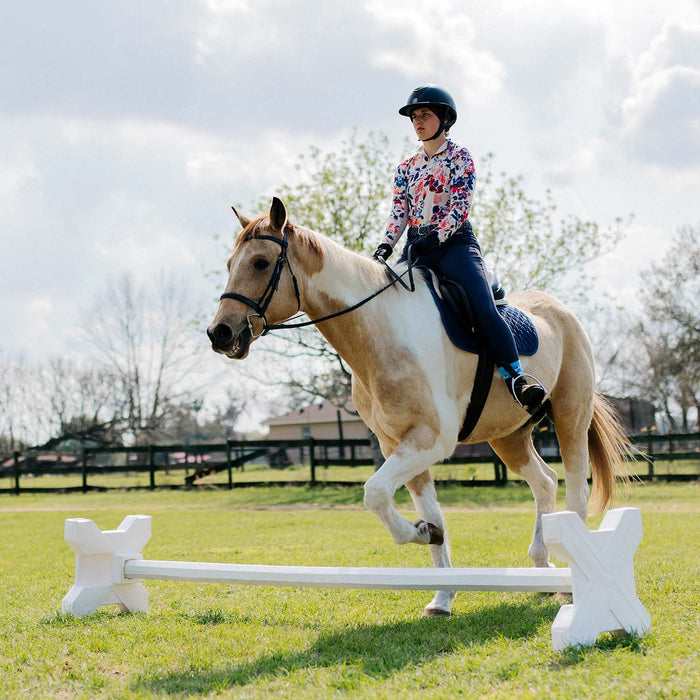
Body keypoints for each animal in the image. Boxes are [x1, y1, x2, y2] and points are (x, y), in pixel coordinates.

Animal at [206, 197, 628, 616]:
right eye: (229, 264)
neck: (384, 331)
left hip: (570, 418)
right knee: (545, 482)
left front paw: (421, 534)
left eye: (261, 263)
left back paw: (571, 581)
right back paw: (541, 567)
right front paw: (440, 587)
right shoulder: (398, 443)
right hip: (508, 437)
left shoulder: (429, 440)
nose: (219, 333)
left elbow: (374, 492)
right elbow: (427, 512)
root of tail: (560, 310)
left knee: (575, 490)